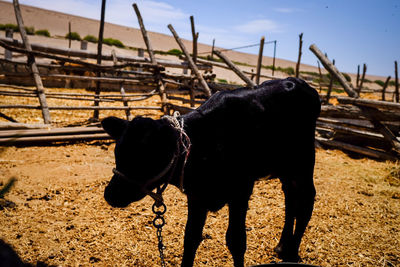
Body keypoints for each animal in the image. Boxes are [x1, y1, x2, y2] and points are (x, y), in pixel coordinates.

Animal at [101, 76, 320, 266]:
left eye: (148, 155)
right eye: (117, 151)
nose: (110, 194)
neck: (202, 143)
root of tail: (297, 81)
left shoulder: (240, 191)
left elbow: (236, 241)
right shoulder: (197, 196)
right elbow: (190, 238)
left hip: (304, 162)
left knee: (306, 201)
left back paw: (292, 252)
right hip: (285, 169)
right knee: (290, 199)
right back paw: (282, 246)